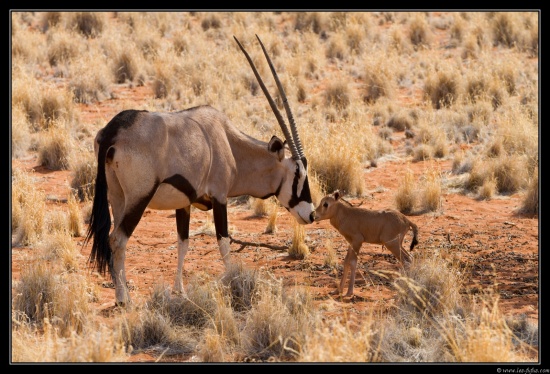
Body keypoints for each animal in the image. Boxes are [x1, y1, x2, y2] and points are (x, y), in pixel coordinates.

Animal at [83, 35, 314, 306]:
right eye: (297, 174)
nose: (311, 214)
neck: (228, 143)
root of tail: (113, 131)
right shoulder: (220, 197)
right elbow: (223, 241)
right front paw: (233, 281)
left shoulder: (184, 203)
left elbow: (183, 243)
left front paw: (179, 290)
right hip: (139, 198)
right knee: (118, 239)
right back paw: (123, 299)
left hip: (118, 197)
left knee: (114, 238)